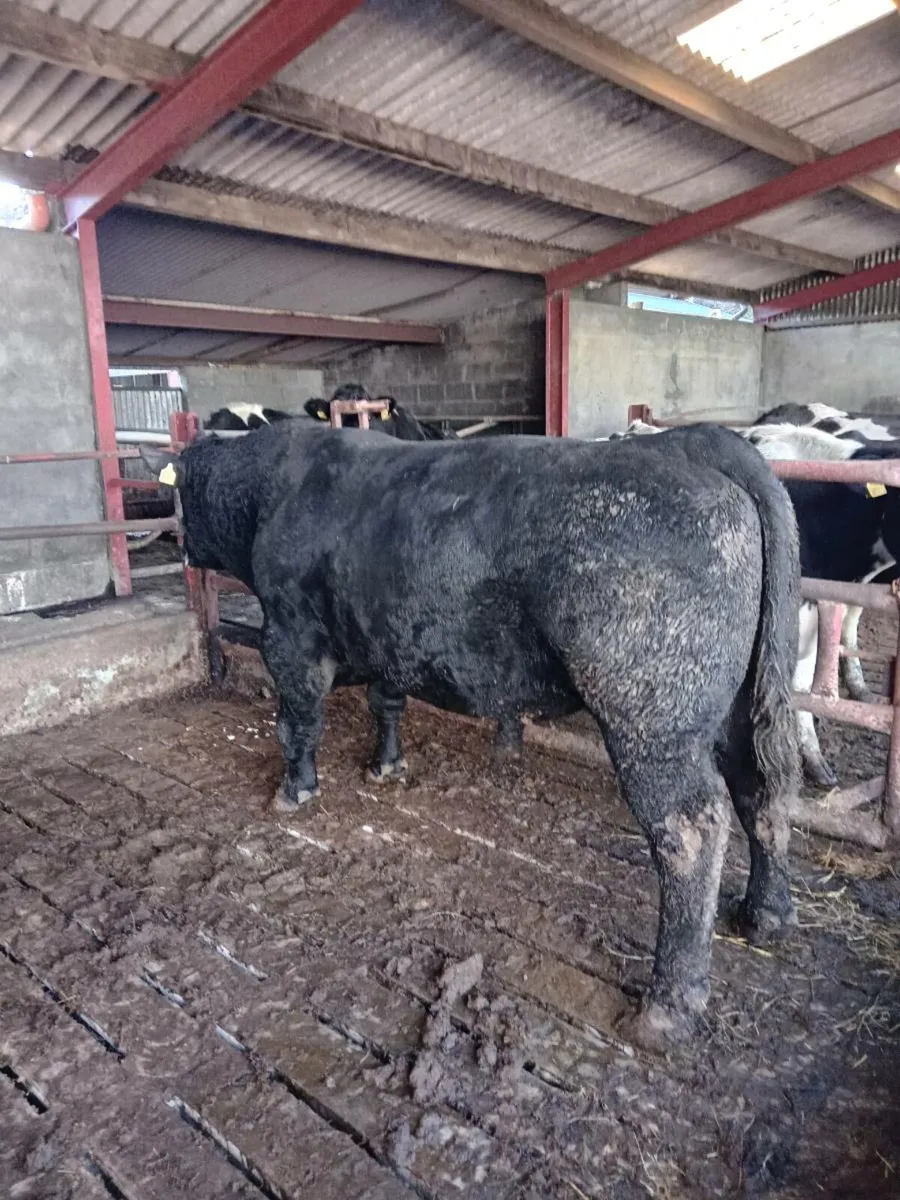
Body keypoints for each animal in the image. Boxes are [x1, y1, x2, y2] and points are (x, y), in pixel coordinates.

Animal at [142, 420, 800, 1047]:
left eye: (175, 496)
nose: (180, 547)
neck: (272, 489)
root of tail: (690, 442)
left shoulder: (288, 634)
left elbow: (297, 720)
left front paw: (295, 789)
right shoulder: (387, 635)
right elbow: (386, 701)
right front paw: (386, 765)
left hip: (653, 720)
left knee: (692, 829)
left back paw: (668, 1007)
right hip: (744, 704)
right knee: (761, 789)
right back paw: (765, 912)